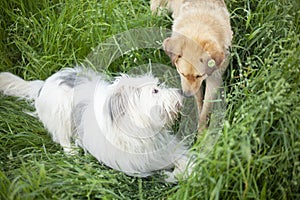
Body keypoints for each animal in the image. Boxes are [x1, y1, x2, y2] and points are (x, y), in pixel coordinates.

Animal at [0, 67, 191, 181]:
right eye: (155, 91)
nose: (181, 92)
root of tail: (45, 83)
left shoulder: (167, 150)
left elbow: (183, 161)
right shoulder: (137, 167)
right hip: (61, 112)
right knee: (60, 136)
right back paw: (71, 151)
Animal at [151, 0, 233, 134]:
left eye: (199, 76)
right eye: (181, 73)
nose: (187, 95)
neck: (199, 23)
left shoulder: (214, 78)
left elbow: (206, 107)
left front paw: (202, 134)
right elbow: (199, 102)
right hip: (159, 10)